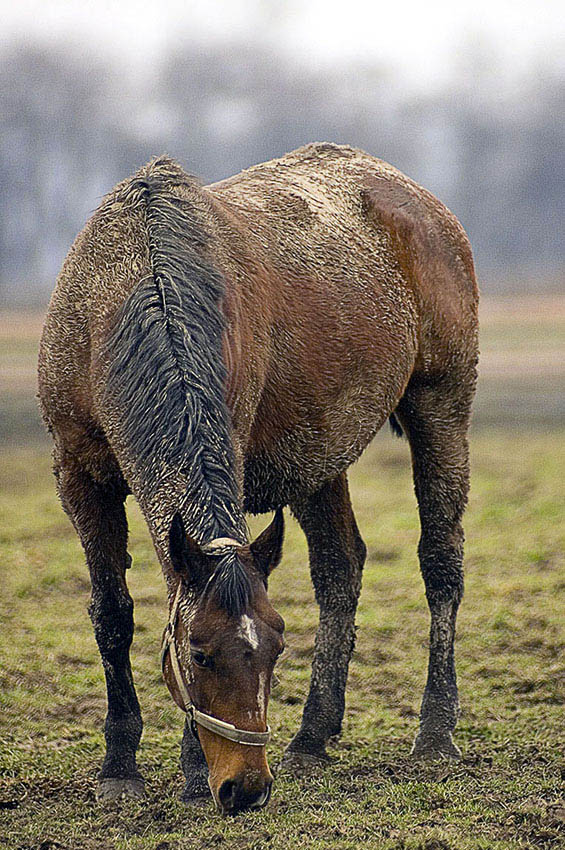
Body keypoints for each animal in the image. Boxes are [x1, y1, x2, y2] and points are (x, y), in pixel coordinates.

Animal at [36, 141, 476, 816]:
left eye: (275, 649)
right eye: (198, 652)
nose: (246, 787)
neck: (127, 290)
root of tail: (416, 198)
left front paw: (192, 772)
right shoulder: (80, 479)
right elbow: (112, 614)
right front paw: (119, 766)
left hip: (441, 408)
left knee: (440, 563)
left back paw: (434, 733)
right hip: (320, 454)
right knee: (340, 568)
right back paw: (313, 738)